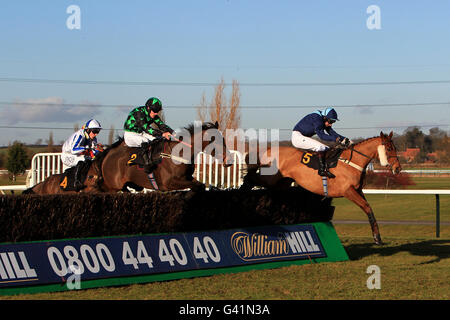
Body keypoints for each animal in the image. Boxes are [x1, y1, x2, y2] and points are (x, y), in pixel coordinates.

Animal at [241, 131, 402, 244]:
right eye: (389, 148)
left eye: (395, 147)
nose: (398, 168)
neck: (351, 162)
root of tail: (267, 149)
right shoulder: (347, 191)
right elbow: (367, 207)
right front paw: (376, 237)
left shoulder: (357, 190)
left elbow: (369, 207)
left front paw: (378, 236)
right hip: (271, 178)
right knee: (251, 178)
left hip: (282, 183)